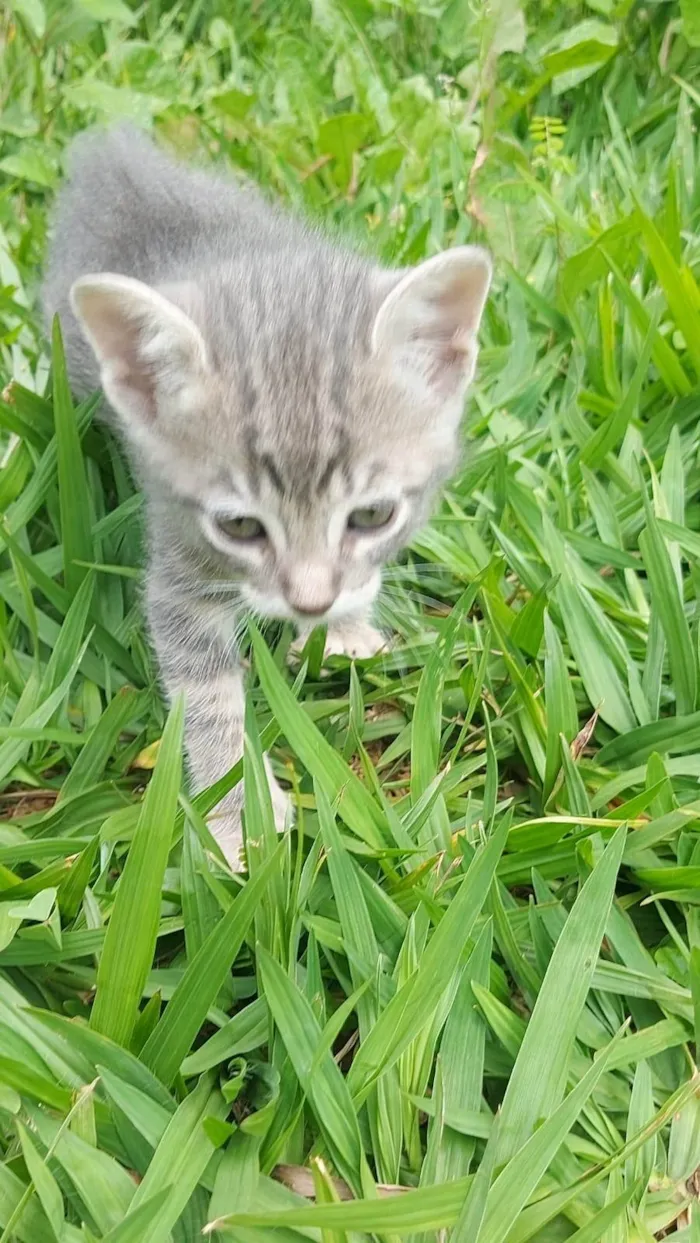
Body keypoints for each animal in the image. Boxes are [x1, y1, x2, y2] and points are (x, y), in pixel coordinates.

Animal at [42, 123, 492, 865]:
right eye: (241, 527)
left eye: (372, 515)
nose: (310, 601)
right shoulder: (177, 569)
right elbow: (207, 697)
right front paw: (236, 813)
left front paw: (344, 628)